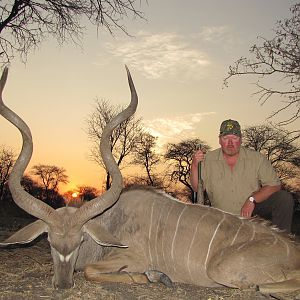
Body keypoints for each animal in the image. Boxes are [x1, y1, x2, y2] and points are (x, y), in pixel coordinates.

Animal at [0, 67, 300, 292]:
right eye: (50, 241)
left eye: (81, 241)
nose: (62, 284)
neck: (110, 222)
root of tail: (293, 249)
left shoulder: (131, 256)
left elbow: (91, 270)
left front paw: (153, 276)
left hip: (222, 270)